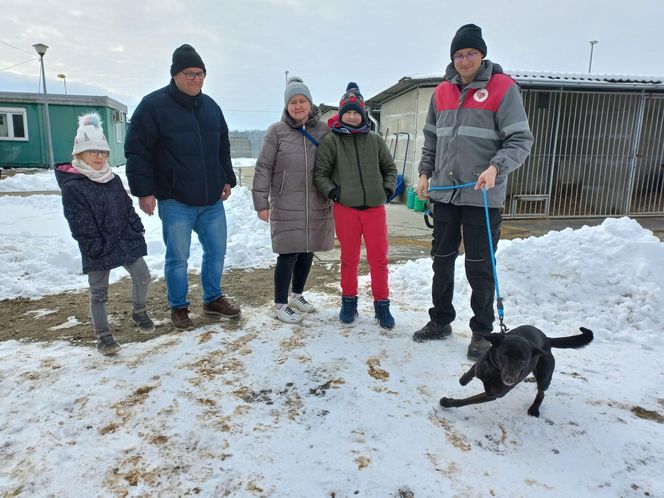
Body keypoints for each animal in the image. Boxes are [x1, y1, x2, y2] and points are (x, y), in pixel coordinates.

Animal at [440, 324, 592, 418]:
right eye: (504, 356)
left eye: (523, 361)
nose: (510, 379)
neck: (495, 371)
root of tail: (547, 340)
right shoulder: (481, 363)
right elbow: (472, 371)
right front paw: (463, 380)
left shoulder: (492, 395)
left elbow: (467, 401)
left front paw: (447, 402)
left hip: (544, 375)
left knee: (541, 393)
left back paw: (534, 409)